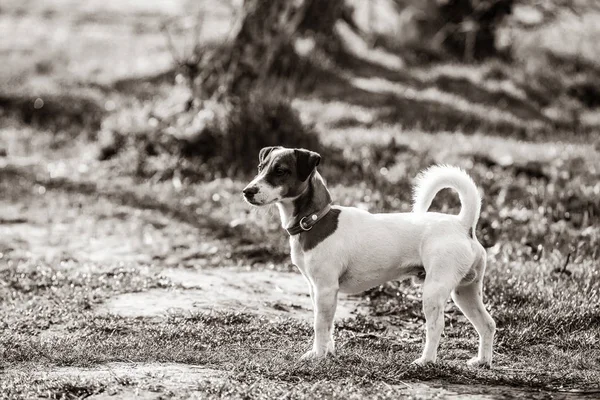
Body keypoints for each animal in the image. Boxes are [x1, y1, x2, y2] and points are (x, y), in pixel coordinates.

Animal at [241, 146, 494, 366]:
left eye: (281, 171)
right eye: (260, 167)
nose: (247, 191)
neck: (315, 220)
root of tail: (463, 224)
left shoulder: (326, 289)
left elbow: (320, 326)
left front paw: (318, 355)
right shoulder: (316, 290)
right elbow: (327, 326)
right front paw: (326, 351)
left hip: (434, 290)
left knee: (436, 326)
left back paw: (425, 361)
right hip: (465, 292)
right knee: (487, 324)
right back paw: (482, 361)